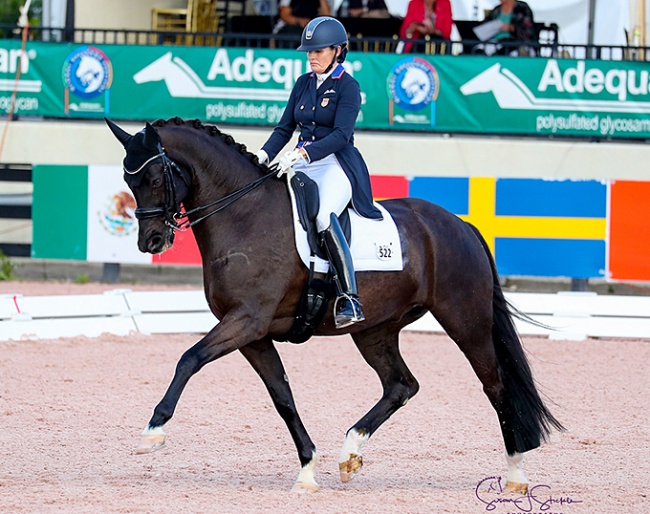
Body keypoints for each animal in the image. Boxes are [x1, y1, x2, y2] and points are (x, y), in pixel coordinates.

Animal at [104, 117, 560, 492]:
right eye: (129, 181)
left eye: (155, 179)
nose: (152, 242)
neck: (244, 213)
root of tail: (459, 224)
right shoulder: (253, 333)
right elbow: (282, 396)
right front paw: (307, 470)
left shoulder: (247, 320)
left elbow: (189, 358)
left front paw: (153, 431)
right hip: (374, 330)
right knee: (401, 385)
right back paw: (350, 453)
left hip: (466, 321)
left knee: (495, 385)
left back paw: (516, 474)